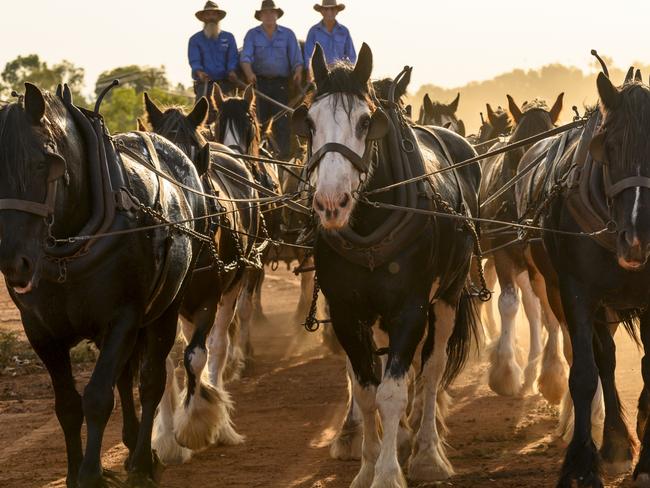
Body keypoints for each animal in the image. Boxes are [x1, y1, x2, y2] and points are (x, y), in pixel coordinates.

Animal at [0, 82, 206, 486]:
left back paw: (142, 462)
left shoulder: (124, 316)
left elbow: (97, 397)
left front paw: (92, 473)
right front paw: (72, 472)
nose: (14, 262)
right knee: (125, 378)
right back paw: (132, 443)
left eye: (46, 164)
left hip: (165, 309)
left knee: (150, 381)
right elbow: (67, 405)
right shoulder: (40, 332)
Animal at [292, 44, 478, 484]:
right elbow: (366, 390)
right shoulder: (346, 311)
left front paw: (390, 472)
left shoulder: (410, 308)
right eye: (309, 122)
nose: (331, 203)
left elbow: (393, 391)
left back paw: (426, 449)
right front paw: (367, 465)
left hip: (448, 294)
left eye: (365, 122)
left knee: (431, 369)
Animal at [476, 93, 568, 402]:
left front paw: (551, 373)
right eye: (518, 153)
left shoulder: (540, 262)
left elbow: (545, 312)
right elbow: (508, 304)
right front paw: (505, 371)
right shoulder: (502, 253)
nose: (530, 207)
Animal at [512, 69, 648, 488]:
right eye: (609, 148)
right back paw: (615, 443)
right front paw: (582, 465)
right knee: (603, 359)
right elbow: (585, 374)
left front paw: (647, 463)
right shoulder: (577, 292)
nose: (637, 239)